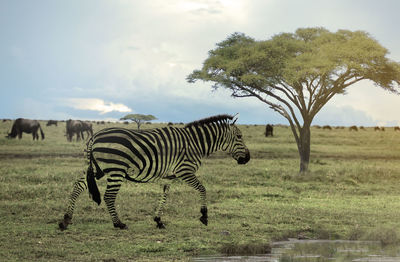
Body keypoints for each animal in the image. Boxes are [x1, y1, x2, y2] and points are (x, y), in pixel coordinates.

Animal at [58, 113, 250, 230]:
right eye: (239, 137)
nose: (247, 159)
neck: (195, 144)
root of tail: (94, 137)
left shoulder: (169, 176)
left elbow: (164, 196)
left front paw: (158, 220)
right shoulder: (184, 170)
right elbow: (202, 189)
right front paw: (204, 216)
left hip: (95, 169)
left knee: (78, 186)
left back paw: (66, 220)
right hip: (116, 170)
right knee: (109, 196)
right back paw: (119, 224)